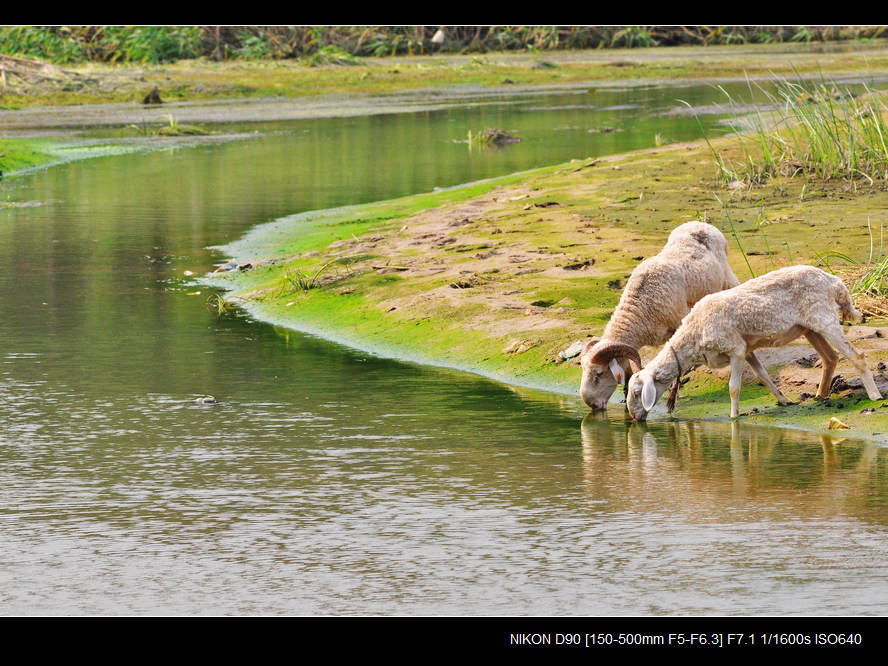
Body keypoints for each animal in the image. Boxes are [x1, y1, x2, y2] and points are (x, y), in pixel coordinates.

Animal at [580, 220, 752, 410]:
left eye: (599, 374)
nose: (591, 404)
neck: (641, 305)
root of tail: (701, 223)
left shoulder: (679, 320)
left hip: (726, 278)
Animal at [624, 262, 880, 418]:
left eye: (637, 393)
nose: (634, 417)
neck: (694, 333)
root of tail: (835, 281)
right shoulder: (747, 350)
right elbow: (764, 376)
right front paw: (783, 400)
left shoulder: (735, 349)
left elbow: (734, 387)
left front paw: (734, 417)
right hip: (810, 327)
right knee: (830, 358)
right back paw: (821, 395)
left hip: (825, 318)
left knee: (856, 356)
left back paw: (875, 395)